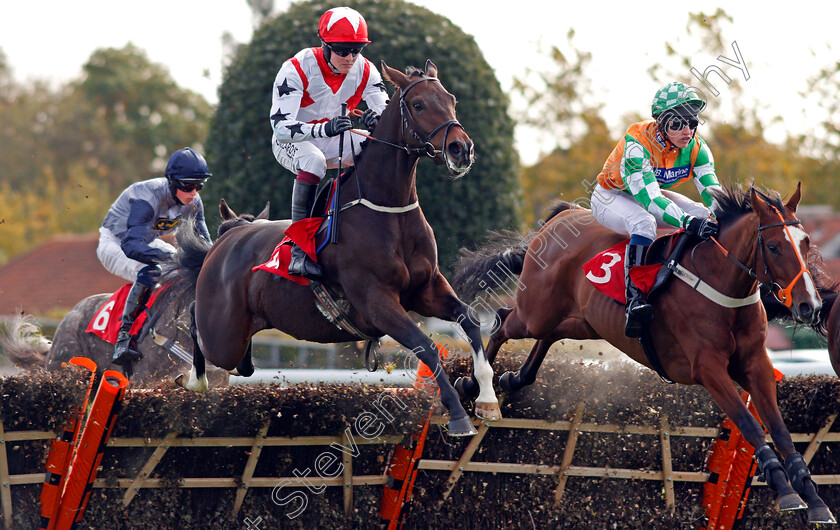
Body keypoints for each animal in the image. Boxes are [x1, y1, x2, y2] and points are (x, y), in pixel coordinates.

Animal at [174, 59, 496, 436]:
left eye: (451, 99)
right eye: (418, 105)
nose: (461, 149)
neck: (388, 211)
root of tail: (228, 236)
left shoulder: (426, 290)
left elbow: (470, 319)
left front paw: (487, 396)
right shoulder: (376, 301)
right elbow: (427, 345)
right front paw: (459, 415)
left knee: (237, 359)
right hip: (223, 333)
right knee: (196, 321)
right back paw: (193, 380)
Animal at [456, 185, 836, 520]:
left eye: (806, 243)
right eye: (773, 246)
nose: (810, 305)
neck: (721, 283)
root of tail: (563, 217)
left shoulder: (756, 364)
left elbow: (781, 431)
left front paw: (815, 500)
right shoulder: (708, 369)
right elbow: (751, 426)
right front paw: (786, 493)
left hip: (582, 321)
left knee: (544, 337)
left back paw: (514, 377)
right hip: (536, 311)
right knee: (501, 322)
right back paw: (476, 388)